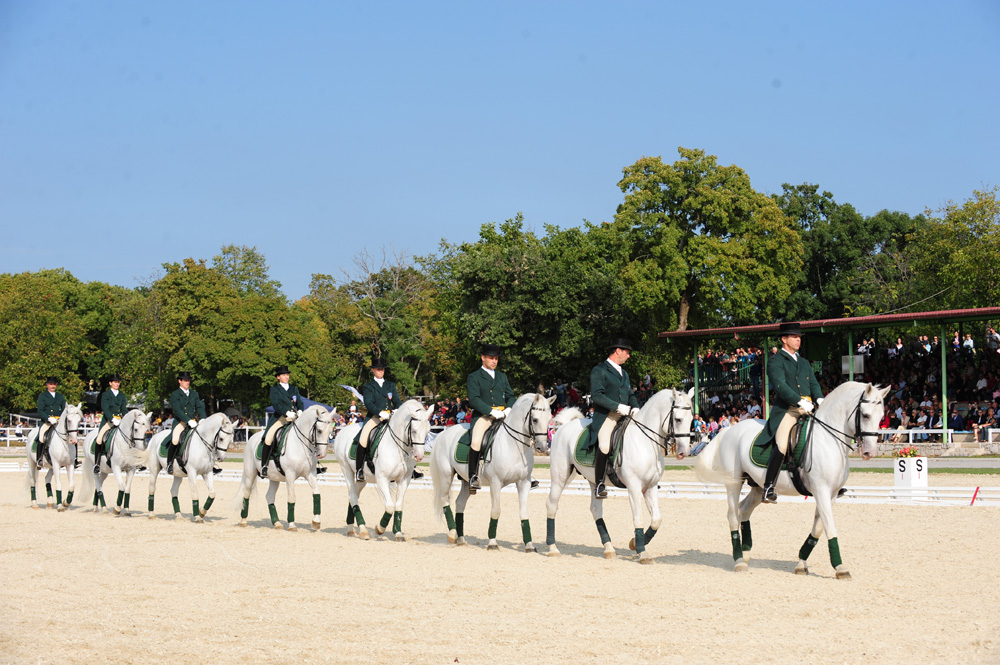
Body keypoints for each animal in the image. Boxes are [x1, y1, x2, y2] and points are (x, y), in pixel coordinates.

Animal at [238, 402, 336, 532]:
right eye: (319, 431)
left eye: (331, 430)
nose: (322, 454)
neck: (301, 444)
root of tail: (252, 438)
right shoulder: (290, 475)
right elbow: (291, 498)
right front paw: (292, 525)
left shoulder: (310, 474)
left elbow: (316, 494)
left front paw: (316, 522)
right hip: (250, 473)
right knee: (246, 493)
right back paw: (243, 521)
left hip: (274, 477)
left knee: (269, 496)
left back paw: (277, 523)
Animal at [336, 396, 434, 544]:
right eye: (414, 431)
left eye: (428, 430)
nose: (419, 456)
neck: (398, 447)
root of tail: (341, 432)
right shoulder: (382, 479)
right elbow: (389, 506)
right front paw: (379, 529)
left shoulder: (404, 480)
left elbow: (398, 506)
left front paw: (398, 533)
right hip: (347, 470)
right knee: (353, 496)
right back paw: (364, 531)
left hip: (362, 479)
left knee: (353, 496)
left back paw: (351, 529)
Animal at [428, 394, 556, 548]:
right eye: (535, 419)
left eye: (549, 419)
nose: (542, 447)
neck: (514, 445)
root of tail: (443, 434)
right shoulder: (496, 482)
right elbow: (496, 510)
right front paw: (492, 543)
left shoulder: (524, 483)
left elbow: (524, 512)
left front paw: (529, 545)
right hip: (446, 475)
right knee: (444, 499)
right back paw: (452, 534)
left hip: (465, 480)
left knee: (459, 503)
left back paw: (461, 539)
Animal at [544, 386, 692, 564]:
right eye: (678, 419)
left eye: (692, 419)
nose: (684, 452)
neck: (645, 442)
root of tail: (564, 427)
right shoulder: (634, 487)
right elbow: (638, 517)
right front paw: (642, 552)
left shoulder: (650, 487)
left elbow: (656, 520)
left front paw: (634, 544)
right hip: (560, 478)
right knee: (552, 505)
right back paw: (552, 548)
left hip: (593, 480)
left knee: (596, 510)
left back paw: (609, 548)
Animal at [696, 382, 892, 580]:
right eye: (865, 415)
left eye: (881, 417)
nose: (869, 453)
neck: (828, 440)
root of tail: (729, 429)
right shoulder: (821, 491)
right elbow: (830, 527)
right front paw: (840, 567)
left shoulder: (831, 494)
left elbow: (818, 528)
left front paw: (801, 563)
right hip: (734, 483)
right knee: (733, 516)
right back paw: (739, 561)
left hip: (758, 487)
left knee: (744, 510)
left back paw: (746, 554)